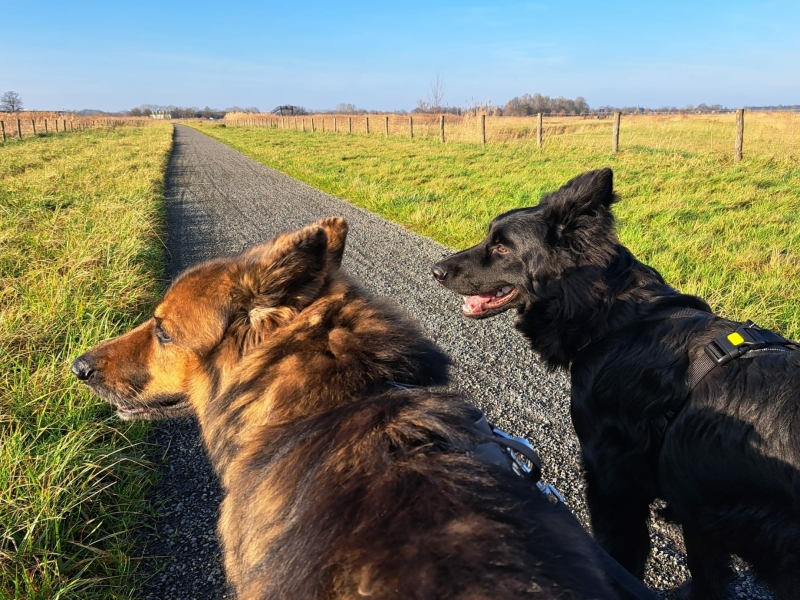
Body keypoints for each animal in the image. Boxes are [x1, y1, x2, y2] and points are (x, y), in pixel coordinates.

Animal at [434, 169, 796, 600]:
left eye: (502, 248)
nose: (435, 270)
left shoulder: (613, 489)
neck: (612, 318)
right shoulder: (695, 511)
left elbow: (622, 562)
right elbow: (707, 577)